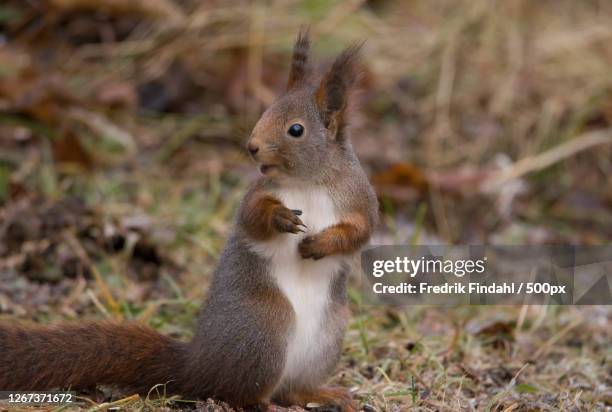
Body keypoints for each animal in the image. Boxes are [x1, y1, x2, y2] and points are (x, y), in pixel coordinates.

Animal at [0, 30, 378, 410]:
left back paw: (322, 393)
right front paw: (280, 216)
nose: (252, 147)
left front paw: (322, 243)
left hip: (327, 335)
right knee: (243, 392)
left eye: (296, 129)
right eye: (264, 111)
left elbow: (361, 231)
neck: (307, 181)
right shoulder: (257, 194)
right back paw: (266, 402)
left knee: (291, 389)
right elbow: (253, 219)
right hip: (265, 325)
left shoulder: (359, 198)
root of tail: (199, 364)